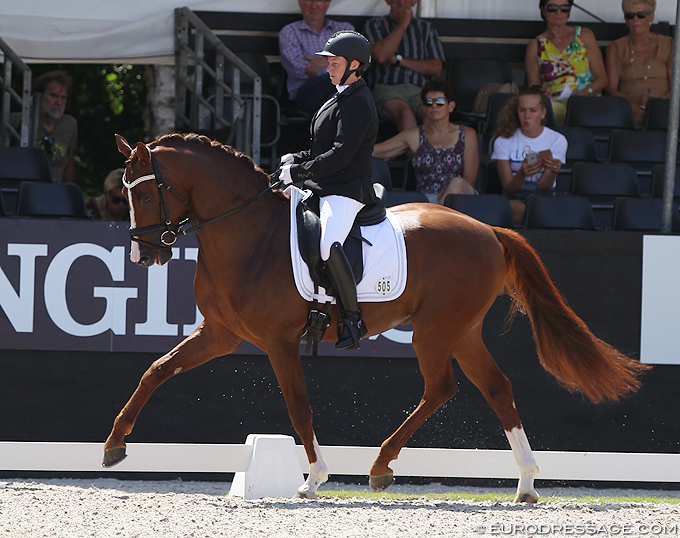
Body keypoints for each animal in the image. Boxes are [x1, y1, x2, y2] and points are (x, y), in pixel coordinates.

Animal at [103, 132, 649, 503]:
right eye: (127, 193)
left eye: (146, 194)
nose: (142, 256)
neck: (248, 235)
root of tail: (489, 230)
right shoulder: (220, 334)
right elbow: (156, 370)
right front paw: (113, 446)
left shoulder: (278, 342)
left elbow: (298, 407)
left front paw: (314, 479)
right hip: (461, 331)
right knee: (496, 388)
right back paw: (526, 484)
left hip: (435, 331)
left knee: (441, 388)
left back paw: (382, 466)